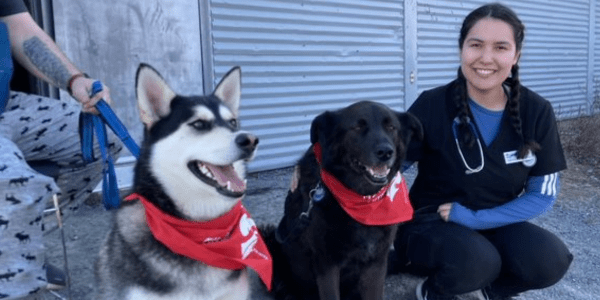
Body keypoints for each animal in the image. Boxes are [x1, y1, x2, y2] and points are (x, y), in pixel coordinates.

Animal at [262, 101, 422, 300]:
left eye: (391, 127)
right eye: (357, 127)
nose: (385, 152)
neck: (363, 199)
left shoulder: (377, 262)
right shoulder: (327, 263)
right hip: (270, 242)